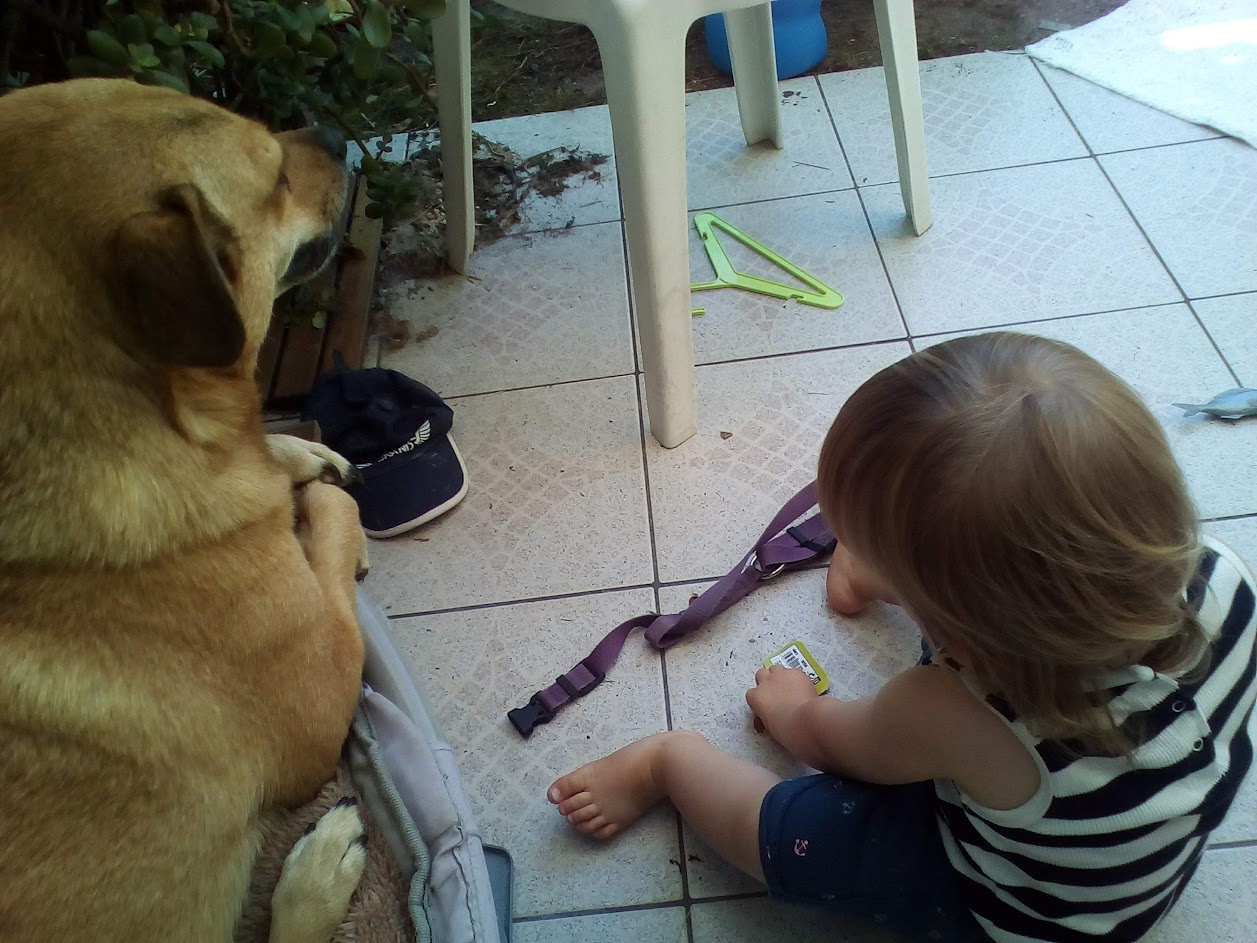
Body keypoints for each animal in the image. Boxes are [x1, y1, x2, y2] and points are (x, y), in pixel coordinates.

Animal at [0, 79, 371, 943]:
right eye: (274, 177)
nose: (339, 132)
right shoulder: (324, 684)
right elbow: (335, 529)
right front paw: (314, 495)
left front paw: (292, 457)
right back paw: (316, 875)